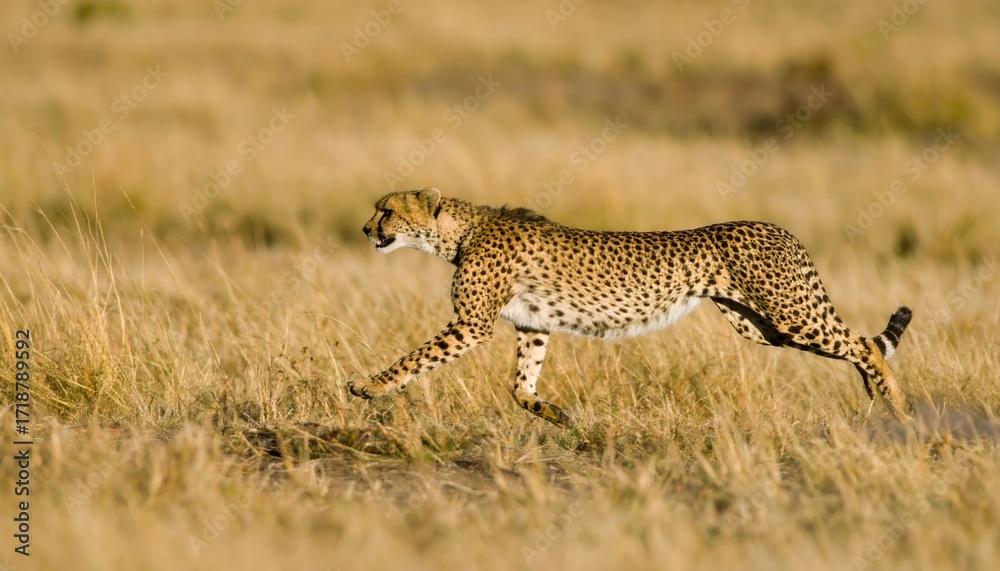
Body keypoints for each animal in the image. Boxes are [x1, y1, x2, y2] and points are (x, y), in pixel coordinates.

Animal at [348, 187, 914, 428]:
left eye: (387, 211)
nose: (365, 228)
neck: (459, 232)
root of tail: (776, 226)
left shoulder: (470, 325)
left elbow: (415, 357)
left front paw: (370, 386)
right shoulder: (533, 326)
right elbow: (520, 385)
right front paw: (554, 414)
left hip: (790, 314)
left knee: (864, 345)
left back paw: (901, 409)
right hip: (761, 326)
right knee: (857, 346)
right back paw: (880, 399)